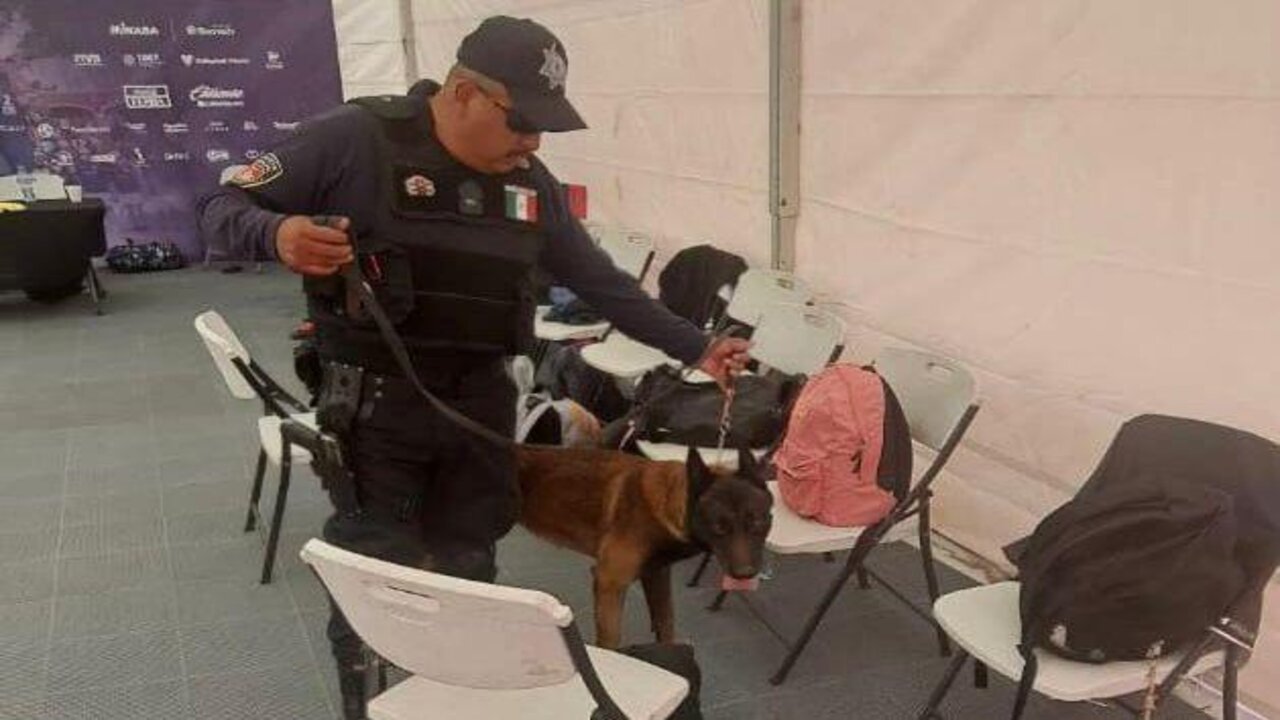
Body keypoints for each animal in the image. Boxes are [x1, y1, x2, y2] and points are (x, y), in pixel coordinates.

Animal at [517, 445, 773, 648]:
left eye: (758, 523)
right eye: (719, 528)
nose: (745, 574)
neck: (669, 505)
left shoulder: (657, 574)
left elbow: (666, 622)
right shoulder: (610, 582)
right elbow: (611, 642)